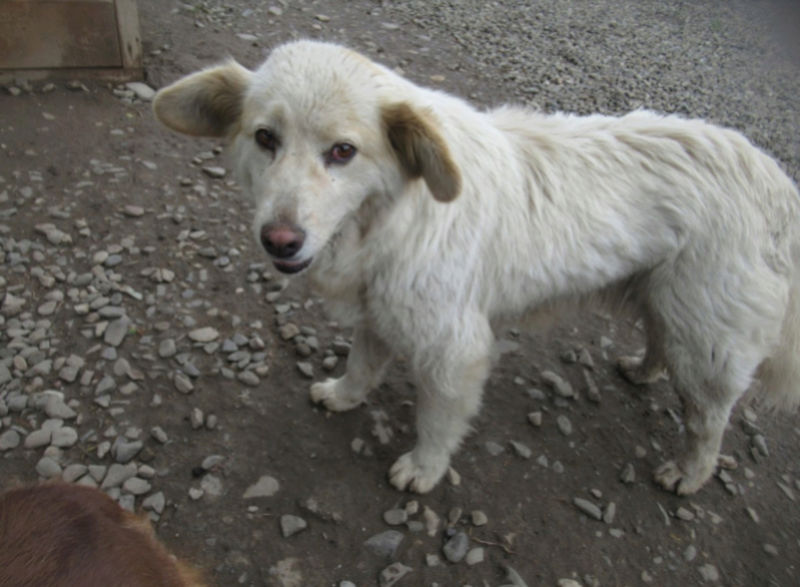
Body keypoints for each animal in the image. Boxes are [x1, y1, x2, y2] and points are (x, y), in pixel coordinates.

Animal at [155, 39, 800, 494]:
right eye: (265, 138)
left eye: (342, 151)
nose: (280, 241)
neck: (393, 214)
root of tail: (774, 178)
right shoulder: (378, 309)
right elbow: (363, 363)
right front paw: (344, 394)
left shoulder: (455, 349)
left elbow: (438, 422)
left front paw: (423, 469)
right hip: (666, 300)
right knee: (661, 340)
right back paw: (643, 371)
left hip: (708, 340)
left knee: (709, 418)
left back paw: (689, 473)